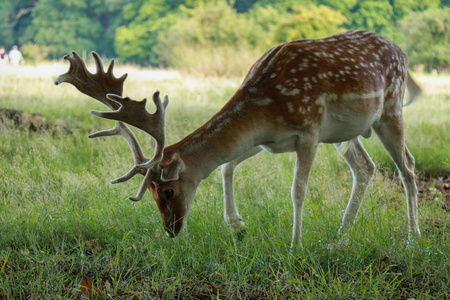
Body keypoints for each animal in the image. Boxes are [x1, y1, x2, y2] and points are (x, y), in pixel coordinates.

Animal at [55, 30, 422, 250]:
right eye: (152, 193)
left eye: (168, 190)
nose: (171, 229)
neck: (266, 105)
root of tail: (404, 53)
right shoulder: (265, 141)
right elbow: (225, 166)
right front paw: (237, 226)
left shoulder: (309, 130)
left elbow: (298, 190)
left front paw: (295, 245)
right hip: (345, 135)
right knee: (366, 167)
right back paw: (341, 236)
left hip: (390, 109)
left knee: (407, 165)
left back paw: (412, 239)